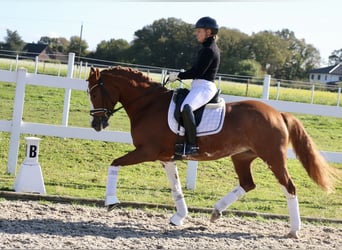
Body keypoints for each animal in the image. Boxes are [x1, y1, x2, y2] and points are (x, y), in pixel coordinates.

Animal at [87, 66, 338, 238]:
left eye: (94, 94)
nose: (96, 125)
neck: (148, 104)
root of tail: (278, 113)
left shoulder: (146, 151)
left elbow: (114, 163)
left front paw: (111, 201)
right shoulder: (165, 158)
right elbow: (176, 188)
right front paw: (179, 217)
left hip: (273, 158)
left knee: (289, 187)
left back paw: (294, 230)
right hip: (242, 156)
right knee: (248, 184)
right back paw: (216, 211)